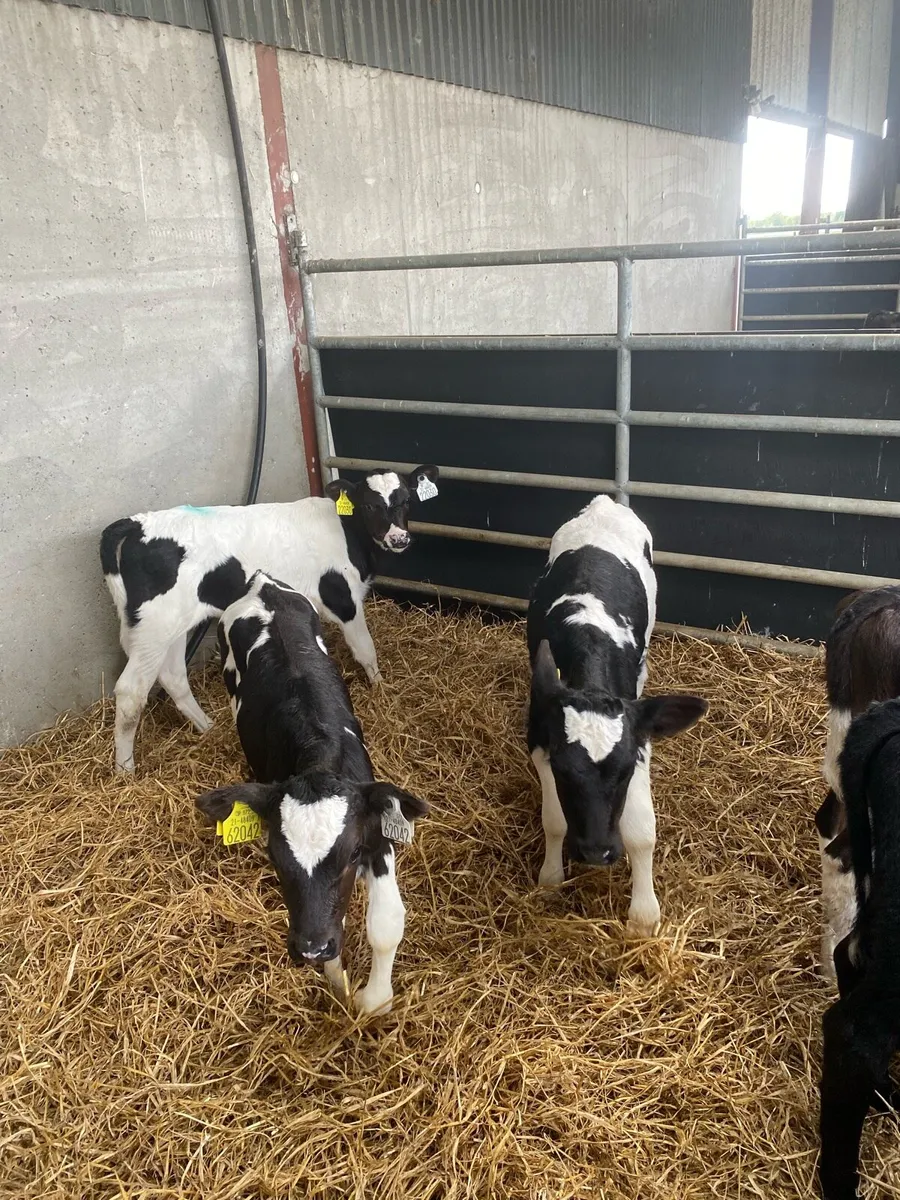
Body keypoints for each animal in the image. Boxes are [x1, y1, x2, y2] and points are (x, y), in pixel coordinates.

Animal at [99, 465, 439, 770]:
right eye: (369, 505)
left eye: (406, 500)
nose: (398, 538)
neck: (347, 532)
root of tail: (135, 523)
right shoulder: (344, 598)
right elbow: (366, 649)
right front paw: (381, 690)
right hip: (155, 624)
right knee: (131, 691)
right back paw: (125, 770)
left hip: (170, 624)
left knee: (172, 676)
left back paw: (207, 727)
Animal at [196, 570, 429, 1015]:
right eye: (274, 856)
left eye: (351, 854)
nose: (310, 950)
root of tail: (263, 582)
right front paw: (339, 983)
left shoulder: (374, 831)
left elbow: (386, 923)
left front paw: (372, 1000)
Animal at [526, 495, 707, 934]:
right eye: (563, 772)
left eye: (624, 772)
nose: (596, 853)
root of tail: (605, 502)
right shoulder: (539, 737)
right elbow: (554, 818)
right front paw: (551, 876)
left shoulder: (639, 740)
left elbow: (642, 830)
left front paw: (644, 914)